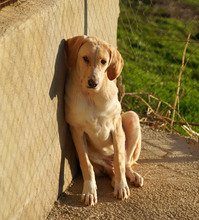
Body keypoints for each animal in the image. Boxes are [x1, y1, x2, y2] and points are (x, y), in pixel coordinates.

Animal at [64, 35, 143, 205]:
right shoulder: (76, 130)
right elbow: (86, 164)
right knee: (108, 169)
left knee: (125, 163)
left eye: (103, 61)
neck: (92, 96)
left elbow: (120, 160)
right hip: (99, 162)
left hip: (132, 117)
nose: (93, 82)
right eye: (85, 58)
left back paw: (130, 177)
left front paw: (121, 186)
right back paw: (113, 179)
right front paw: (89, 190)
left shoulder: (116, 127)